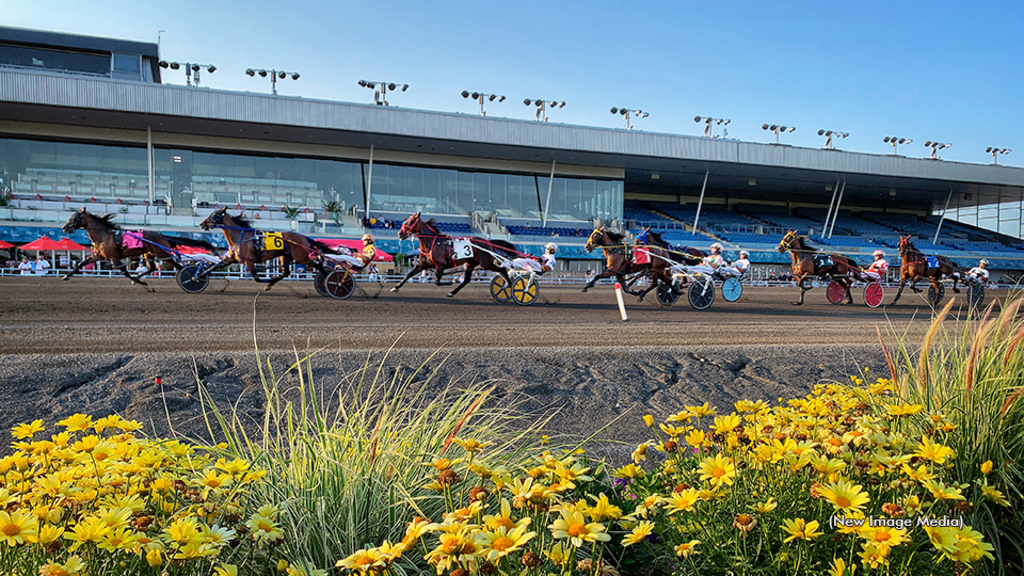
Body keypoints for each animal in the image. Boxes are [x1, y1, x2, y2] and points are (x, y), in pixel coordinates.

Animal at [59, 208, 216, 284]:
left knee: (180, 267)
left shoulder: (114, 257)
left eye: (74, 218)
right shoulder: (100, 255)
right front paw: (66, 275)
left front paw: (139, 282)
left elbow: (124, 271)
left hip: (163, 254)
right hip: (149, 254)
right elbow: (82, 262)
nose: (64, 228)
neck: (104, 234)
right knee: (152, 267)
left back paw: (194, 278)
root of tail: (162, 236)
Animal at [202, 204, 335, 289]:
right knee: (286, 272)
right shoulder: (232, 259)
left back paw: (329, 282)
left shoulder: (249, 261)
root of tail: (303, 237)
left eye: (216, 214)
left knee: (319, 266)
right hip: (285, 256)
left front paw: (269, 281)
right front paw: (198, 276)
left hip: (301, 257)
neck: (240, 236)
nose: (202, 224)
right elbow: (214, 266)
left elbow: (257, 278)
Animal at [391, 213, 520, 297]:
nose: (399, 234)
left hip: (486, 263)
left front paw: (449, 282)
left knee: (502, 269)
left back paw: (508, 284)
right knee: (466, 280)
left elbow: (437, 282)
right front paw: (395, 287)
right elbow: (408, 275)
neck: (433, 243)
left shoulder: (441, 266)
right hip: (471, 263)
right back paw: (452, 293)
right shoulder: (422, 265)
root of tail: (487, 242)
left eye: (410, 222)